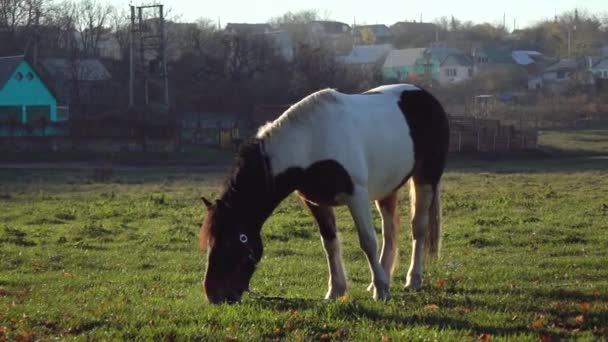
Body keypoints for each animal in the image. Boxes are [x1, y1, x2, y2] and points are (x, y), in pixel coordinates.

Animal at [201, 84, 452, 304]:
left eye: (231, 242)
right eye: (211, 241)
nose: (213, 294)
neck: (310, 142)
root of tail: (426, 96)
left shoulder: (356, 196)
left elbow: (367, 241)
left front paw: (381, 292)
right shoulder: (316, 202)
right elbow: (329, 243)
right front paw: (336, 291)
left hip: (426, 179)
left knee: (418, 227)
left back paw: (412, 280)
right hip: (387, 188)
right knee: (390, 232)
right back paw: (380, 280)